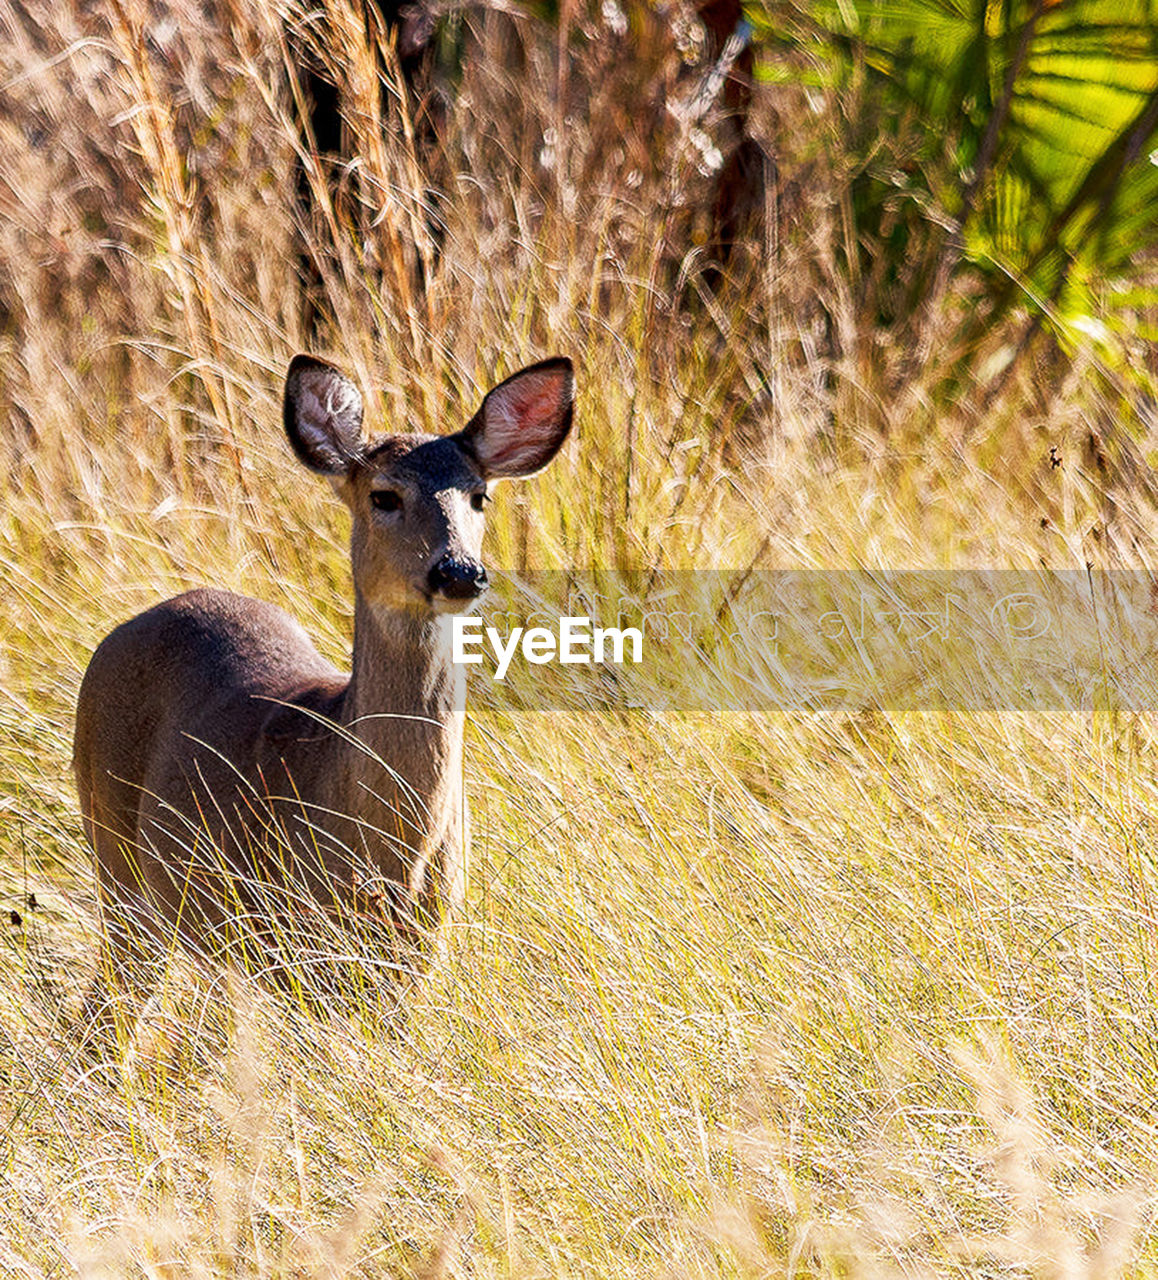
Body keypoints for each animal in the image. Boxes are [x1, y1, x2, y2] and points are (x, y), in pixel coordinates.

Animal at [72, 355, 573, 1034]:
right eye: (384, 495)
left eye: (480, 496)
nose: (459, 571)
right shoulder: (297, 945)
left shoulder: (424, 951)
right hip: (118, 853)